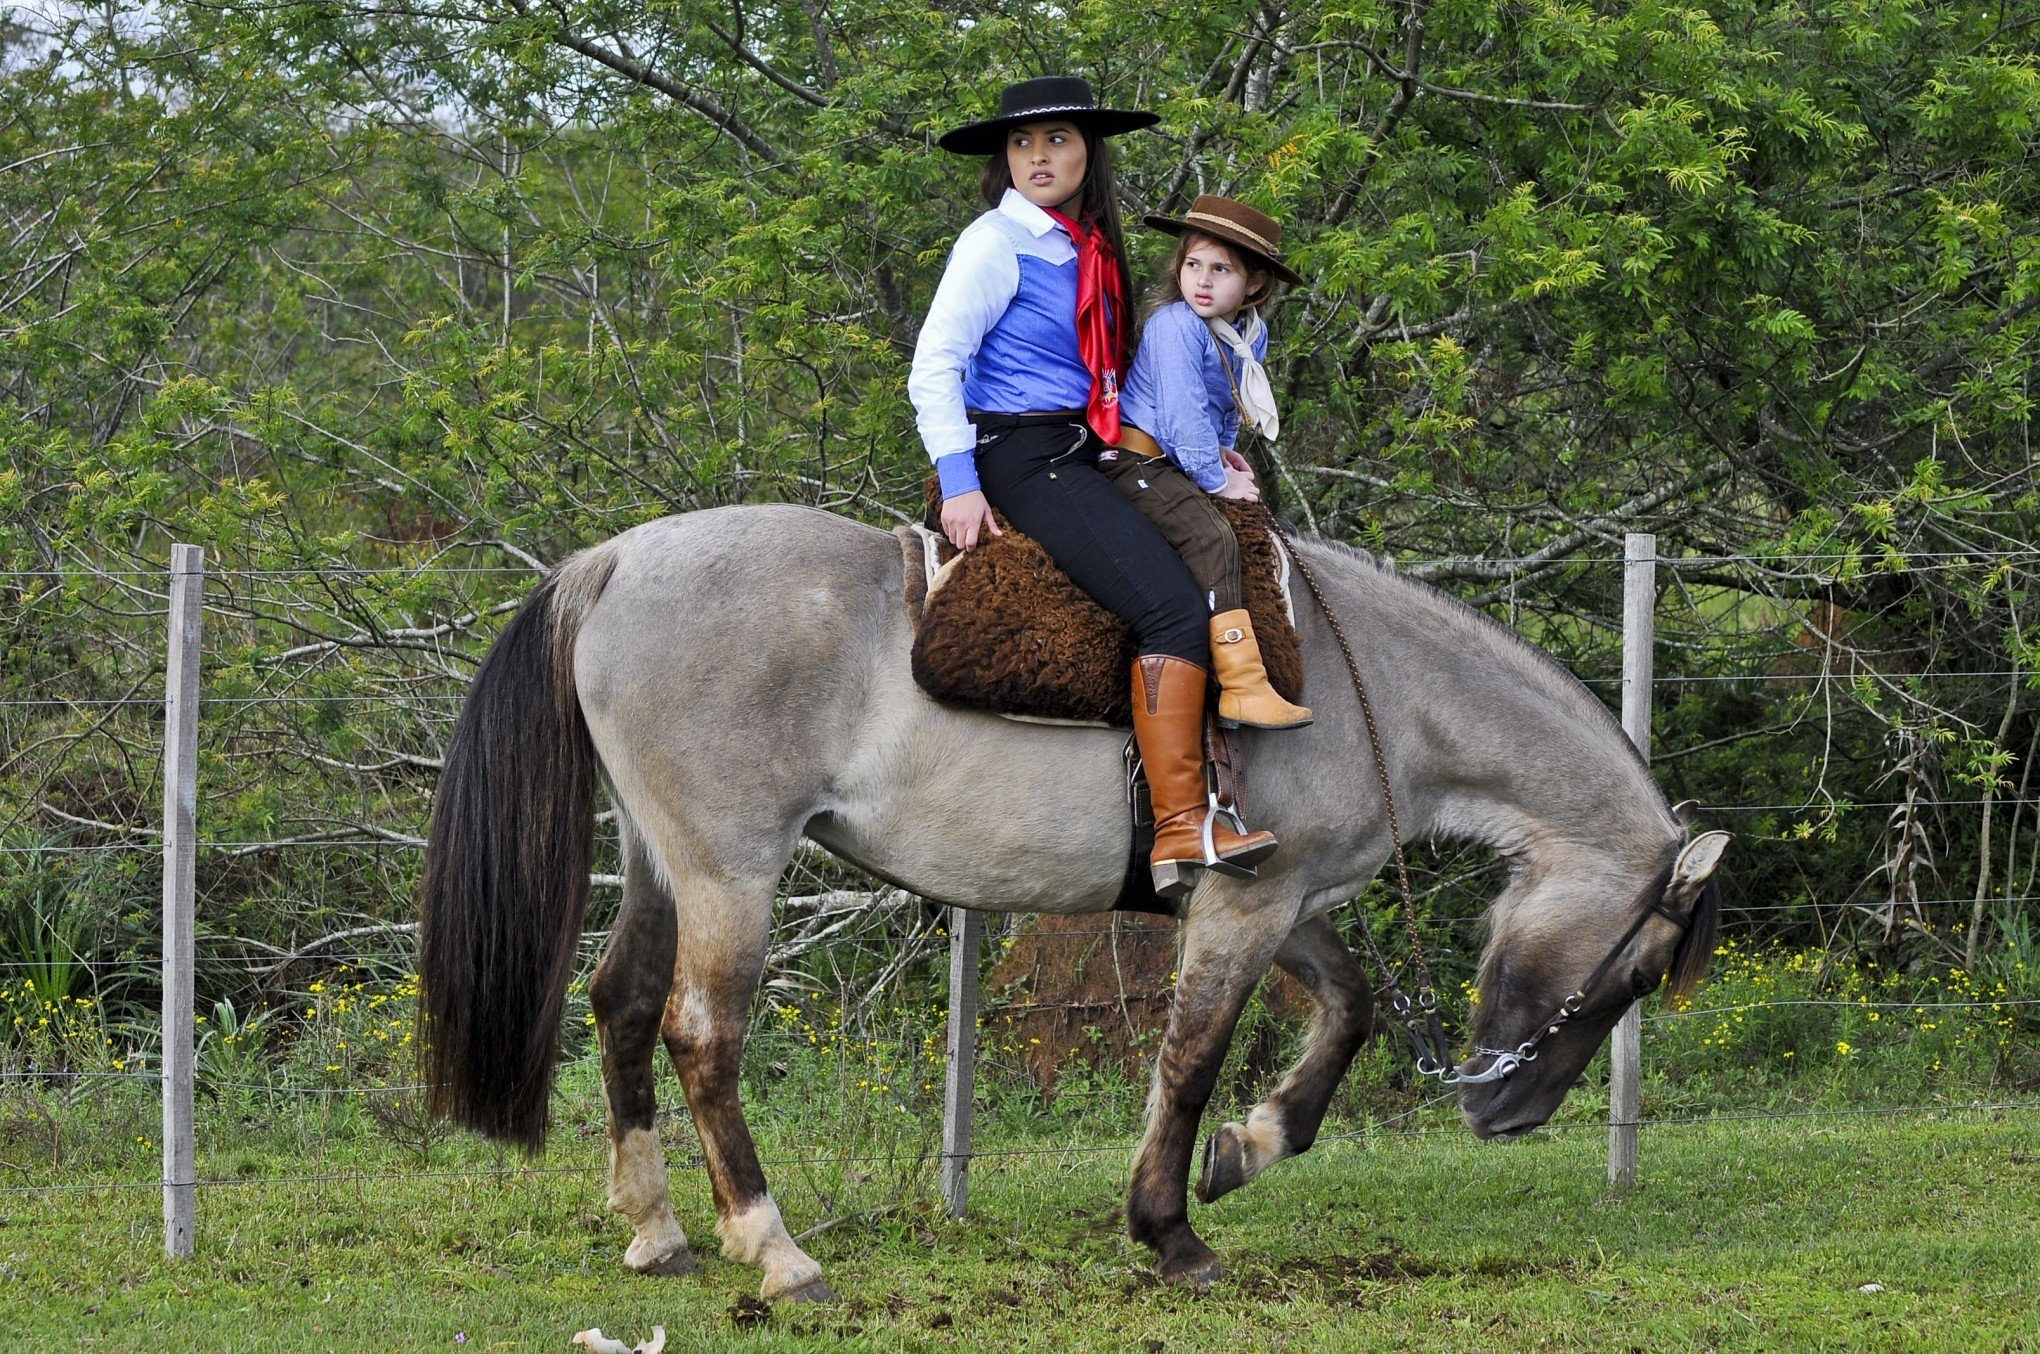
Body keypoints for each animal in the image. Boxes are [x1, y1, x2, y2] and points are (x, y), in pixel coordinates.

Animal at [422, 505, 1729, 1305]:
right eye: (1633, 972)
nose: (1508, 1113)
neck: (1378, 686)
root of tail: (618, 563)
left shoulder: (1273, 890)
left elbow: (1347, 1008)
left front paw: (1249, 1149)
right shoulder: (1247, 905)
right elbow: (1192, 1058)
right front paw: (1171, 1229)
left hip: (664, 863)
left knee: (623, 1007)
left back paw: (656, 1231)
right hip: (731, 873)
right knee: (701, 1035)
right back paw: (775, 1249)